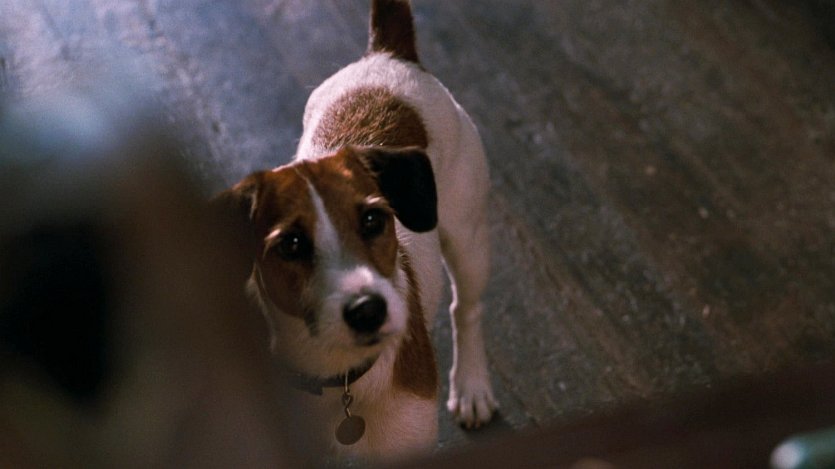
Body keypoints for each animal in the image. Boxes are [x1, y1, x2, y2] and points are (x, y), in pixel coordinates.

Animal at [217, 0, 497, 461]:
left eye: (372, 220)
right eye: (291, 245)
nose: (368, 309)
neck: (340, 376)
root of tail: (386, 56)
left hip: (468, 238)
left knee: (466, 309)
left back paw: (472, 386)